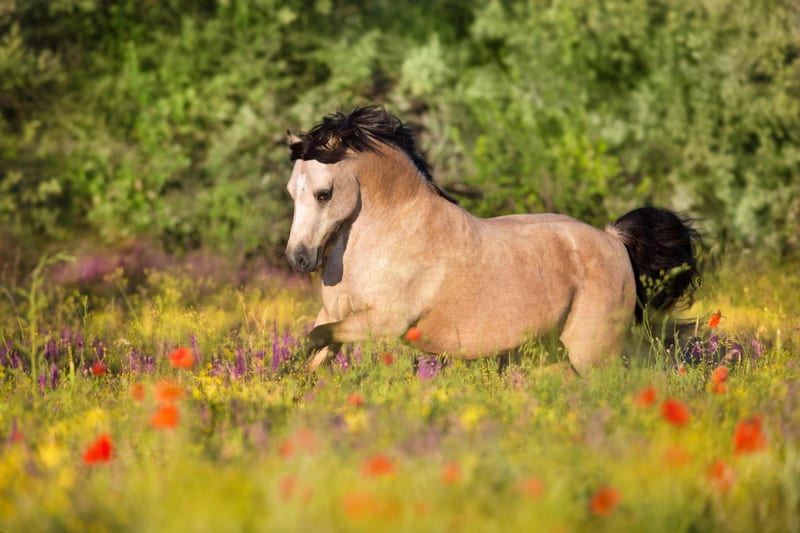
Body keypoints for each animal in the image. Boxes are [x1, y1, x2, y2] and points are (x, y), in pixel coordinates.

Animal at [285, 105, 701, 374]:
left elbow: (315, 339)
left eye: (323, 193)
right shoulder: (335, 315)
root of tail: (614, 240)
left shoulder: (385, 322)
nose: (299, 258)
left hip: (594, 354)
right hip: (553, 355)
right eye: (292, 191)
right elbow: (312, 347)